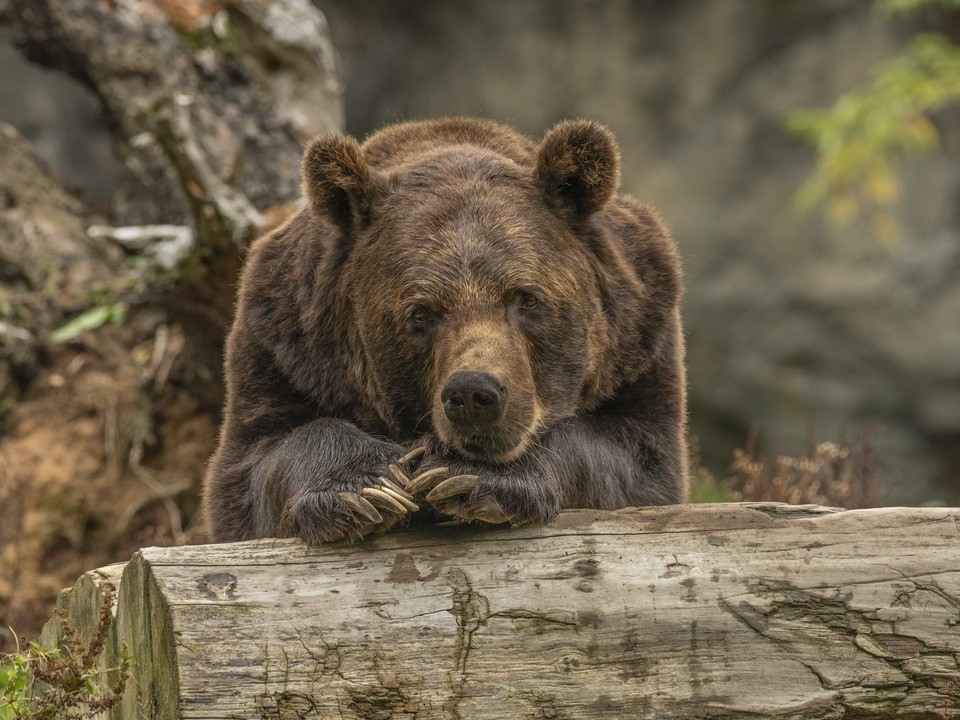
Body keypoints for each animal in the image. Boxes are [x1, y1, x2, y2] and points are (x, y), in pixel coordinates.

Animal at [202, 116, 688, 544]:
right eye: (421, 311)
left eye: (527, 298)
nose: (474, 394)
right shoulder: (285, 346)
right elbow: (258, 461)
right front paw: (368, 487)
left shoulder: (639, 339)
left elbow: (634, 460)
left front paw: (467, 475)